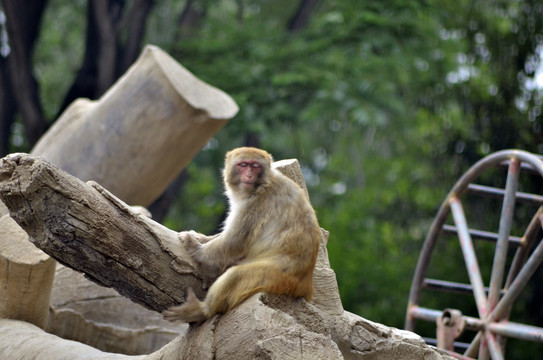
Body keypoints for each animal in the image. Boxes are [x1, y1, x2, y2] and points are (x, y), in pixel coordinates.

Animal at [164, 146, 320, 324]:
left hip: (277, 277)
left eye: (255, 166)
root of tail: (306, 286)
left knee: (236, 275)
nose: (249, 175)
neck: (263, 184)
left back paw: (202, 311)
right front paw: (200, 238)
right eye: (243, 164)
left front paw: (195, 247)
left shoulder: (255, 204)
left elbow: (233, 242)